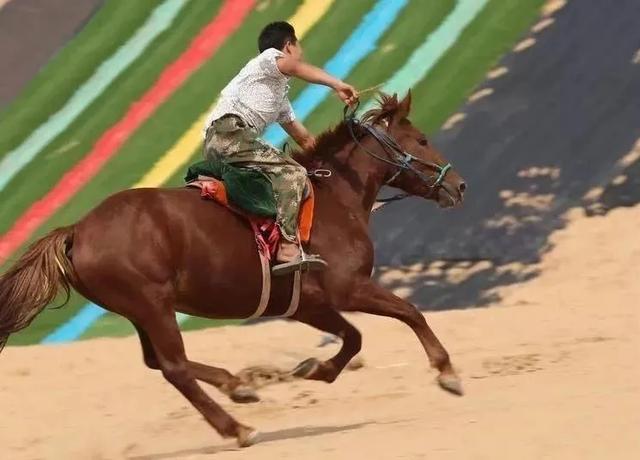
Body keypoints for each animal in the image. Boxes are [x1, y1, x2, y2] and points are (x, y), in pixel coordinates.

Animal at [0, 91, 464, 448]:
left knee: (157, 362)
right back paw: (237, 428)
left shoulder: (307, 305)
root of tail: (77, 230)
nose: (458, 185)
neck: (333, 198)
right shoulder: (347, 289)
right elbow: (406, 313)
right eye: (422, 139)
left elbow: (354, 337)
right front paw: (446, 372)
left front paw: (315, 369)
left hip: (140, 310)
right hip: (152, 304)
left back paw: (236, 386)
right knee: (174, 367)